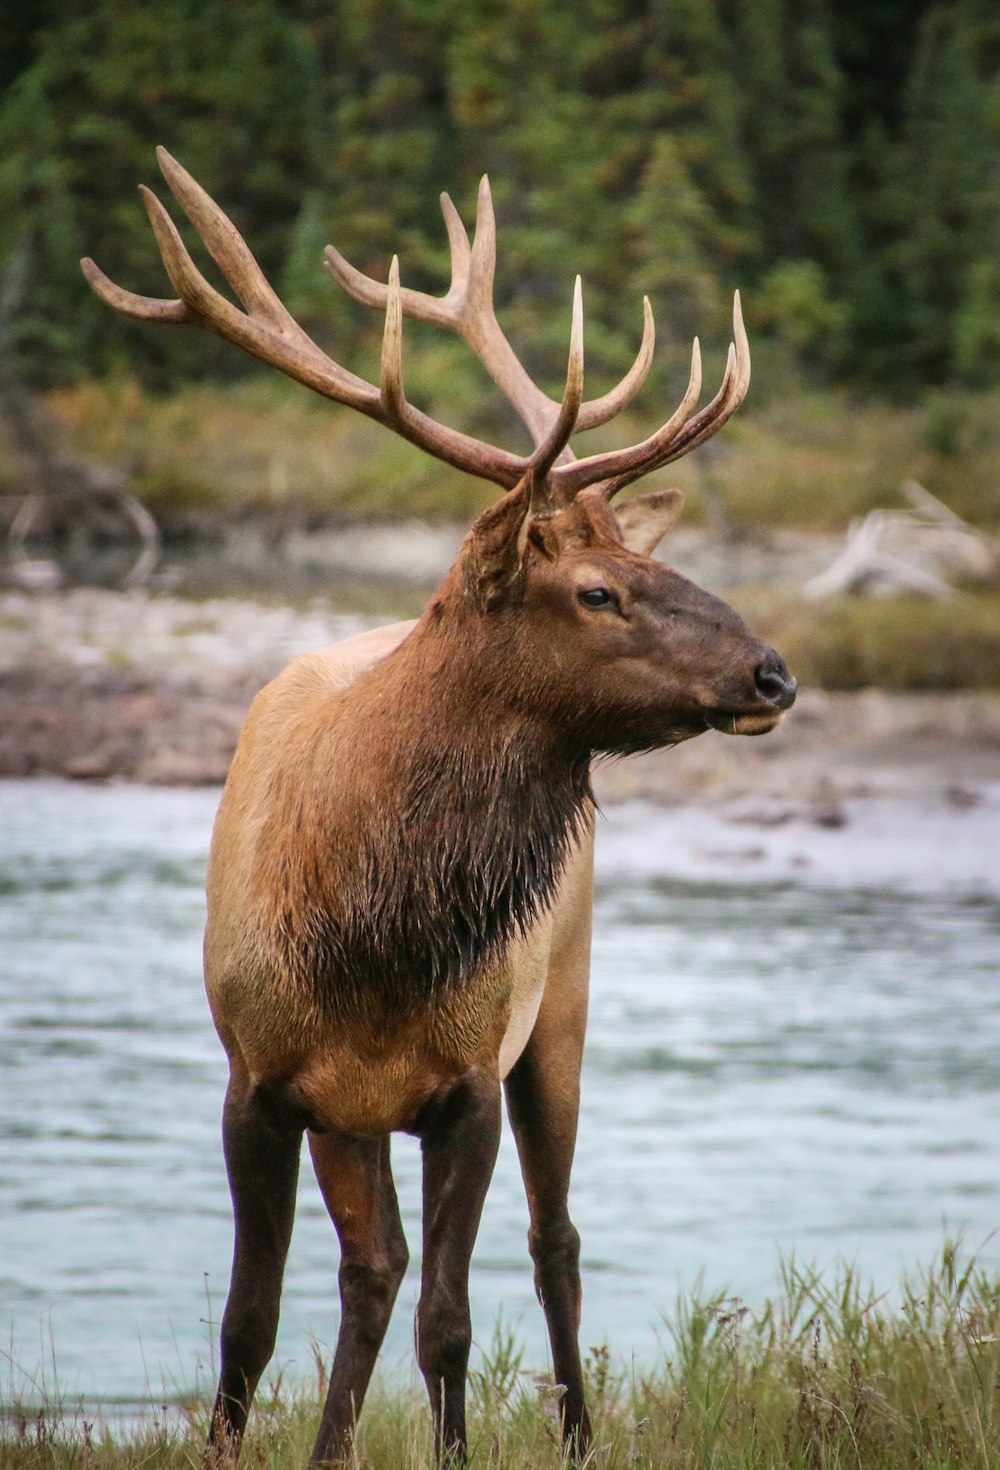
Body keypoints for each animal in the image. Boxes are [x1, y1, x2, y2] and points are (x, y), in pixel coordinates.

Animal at [83, 152, 794, 1470]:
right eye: (599, 590)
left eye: (649, 562)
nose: (773, 673)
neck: (368, 933)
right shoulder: (256, 1080)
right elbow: (250, 1318)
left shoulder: (465, 1083)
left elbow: (452, 1323)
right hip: (355, 1114)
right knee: (373, 1271)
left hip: (559, 1013)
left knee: (553, 1245)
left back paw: (577, 1435)